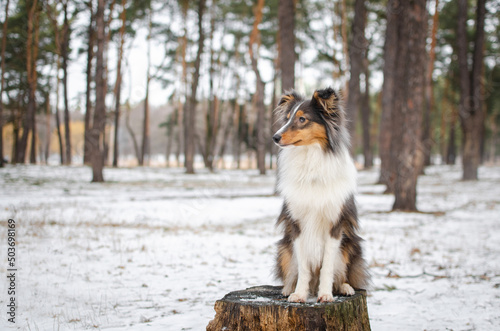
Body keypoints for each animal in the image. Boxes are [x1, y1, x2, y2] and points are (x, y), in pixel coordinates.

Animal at [272, 87, 370, 304]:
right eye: (288, 118)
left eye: (302, 119)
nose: (275, 137)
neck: (311, 161)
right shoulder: (297, 225)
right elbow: (303, 268)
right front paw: (299, 294)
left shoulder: (335, 226)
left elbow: (327, 267)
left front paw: (325, 294)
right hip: (284, 248)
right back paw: (288, 288)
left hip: (351, 246)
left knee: (340, 273)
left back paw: (345, 287)